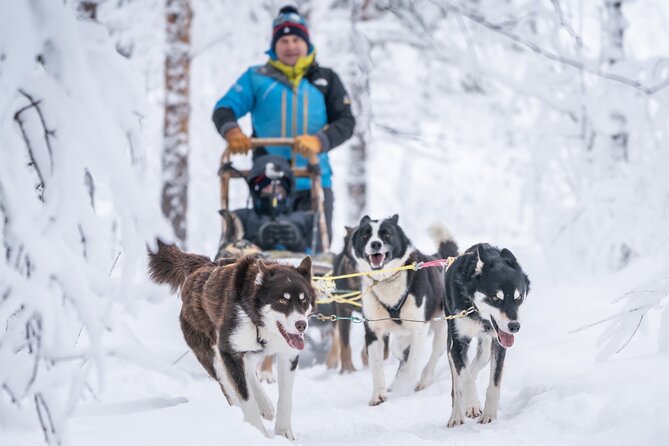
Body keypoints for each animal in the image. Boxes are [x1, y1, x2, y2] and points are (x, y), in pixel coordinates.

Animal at [147, 240, 314, 440]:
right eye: (282, 300)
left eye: (304, 301)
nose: (301, 325)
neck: (257, 320)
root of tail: (201, 267)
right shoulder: (227, 351)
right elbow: (246, 397)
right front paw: (256, 432)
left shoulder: (288, 354)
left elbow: (285, 398)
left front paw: (283, 432)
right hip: (212, 354)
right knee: (228, 384)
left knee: (247, 371)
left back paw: (264, 404)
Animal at [350, 214, 460, 406]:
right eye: (365, 235)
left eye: (386, 234)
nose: (375, 244)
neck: (388, 281)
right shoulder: (373, 331)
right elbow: (376, 367)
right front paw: (378, 395)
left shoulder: (419, 328)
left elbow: (411, 366)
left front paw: (403, 386)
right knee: (399, 349)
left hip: (441, 330)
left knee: (432, 357)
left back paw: (422, 381)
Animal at [440, 244, 528, 428]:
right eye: (496, 298)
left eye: (518, 298)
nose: (514, 326)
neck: (476, 312)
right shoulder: (457, 344)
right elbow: (465, 379)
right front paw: (473, 404)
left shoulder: (499, 344)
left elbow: (494, 384)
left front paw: (489, 415)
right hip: (451, 345)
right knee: (458, 381)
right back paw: (457, 414)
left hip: (486, 351)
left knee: (477, 364)